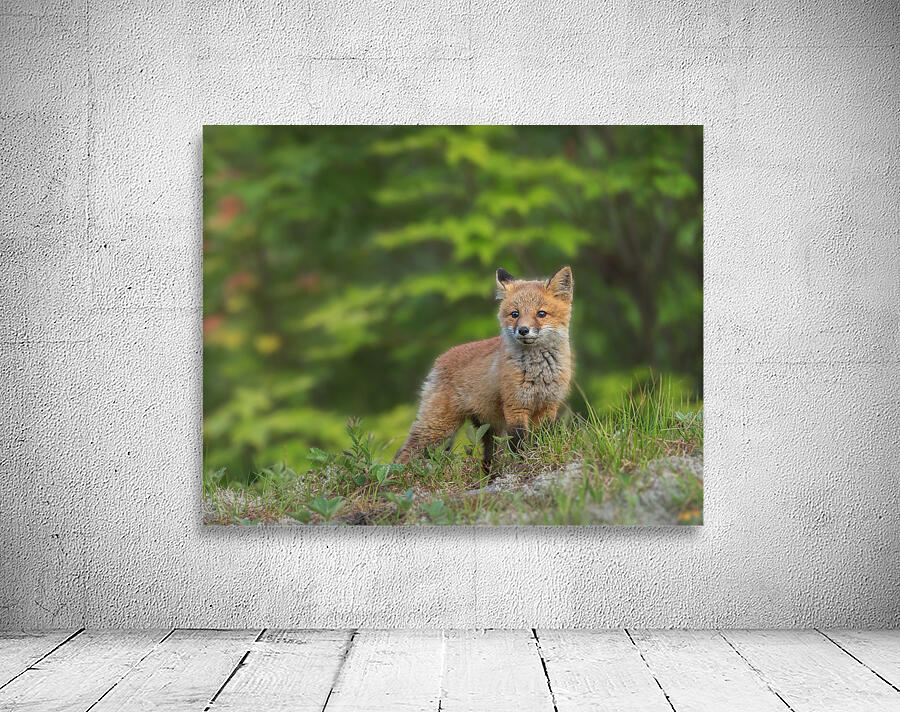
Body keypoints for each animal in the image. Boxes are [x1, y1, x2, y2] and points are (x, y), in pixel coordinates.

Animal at [394, 265, 574, 473]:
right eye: (515, 314)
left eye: (541, 313)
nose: (523, 330)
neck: (538, 372)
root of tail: (440, 358)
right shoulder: (515, 406)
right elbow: (519, 444)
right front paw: (523, 464)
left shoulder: (548, 405)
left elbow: (542, 438)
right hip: (439, 427)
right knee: (404, 453)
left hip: (488, 428)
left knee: (487, 459)